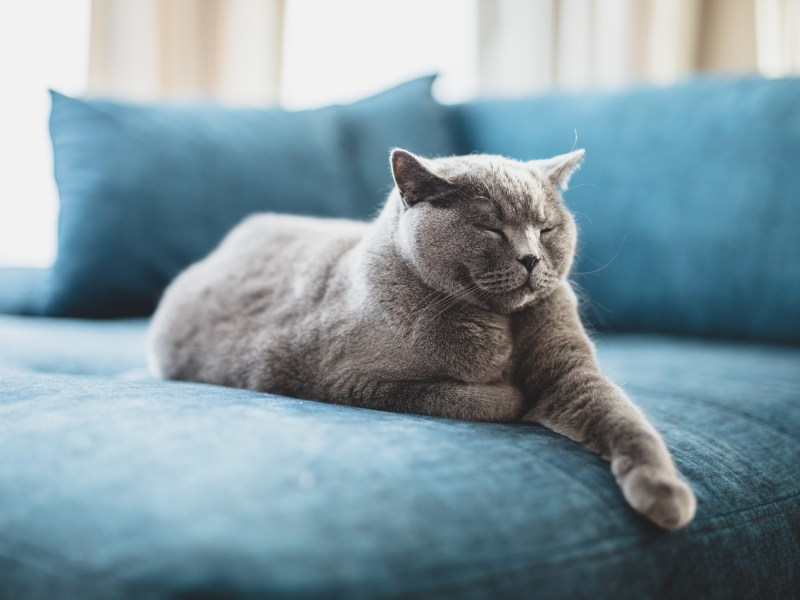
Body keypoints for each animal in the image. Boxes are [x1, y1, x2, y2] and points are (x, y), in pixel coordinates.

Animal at [148, 149, 692, 528]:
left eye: (546, 228)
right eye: (490, 229)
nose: (531, 258)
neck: (501, 325)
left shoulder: (571, 372)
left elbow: (624, 419)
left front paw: (665, 492)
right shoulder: (351, 381)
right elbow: (478, 398)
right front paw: (512, 393)